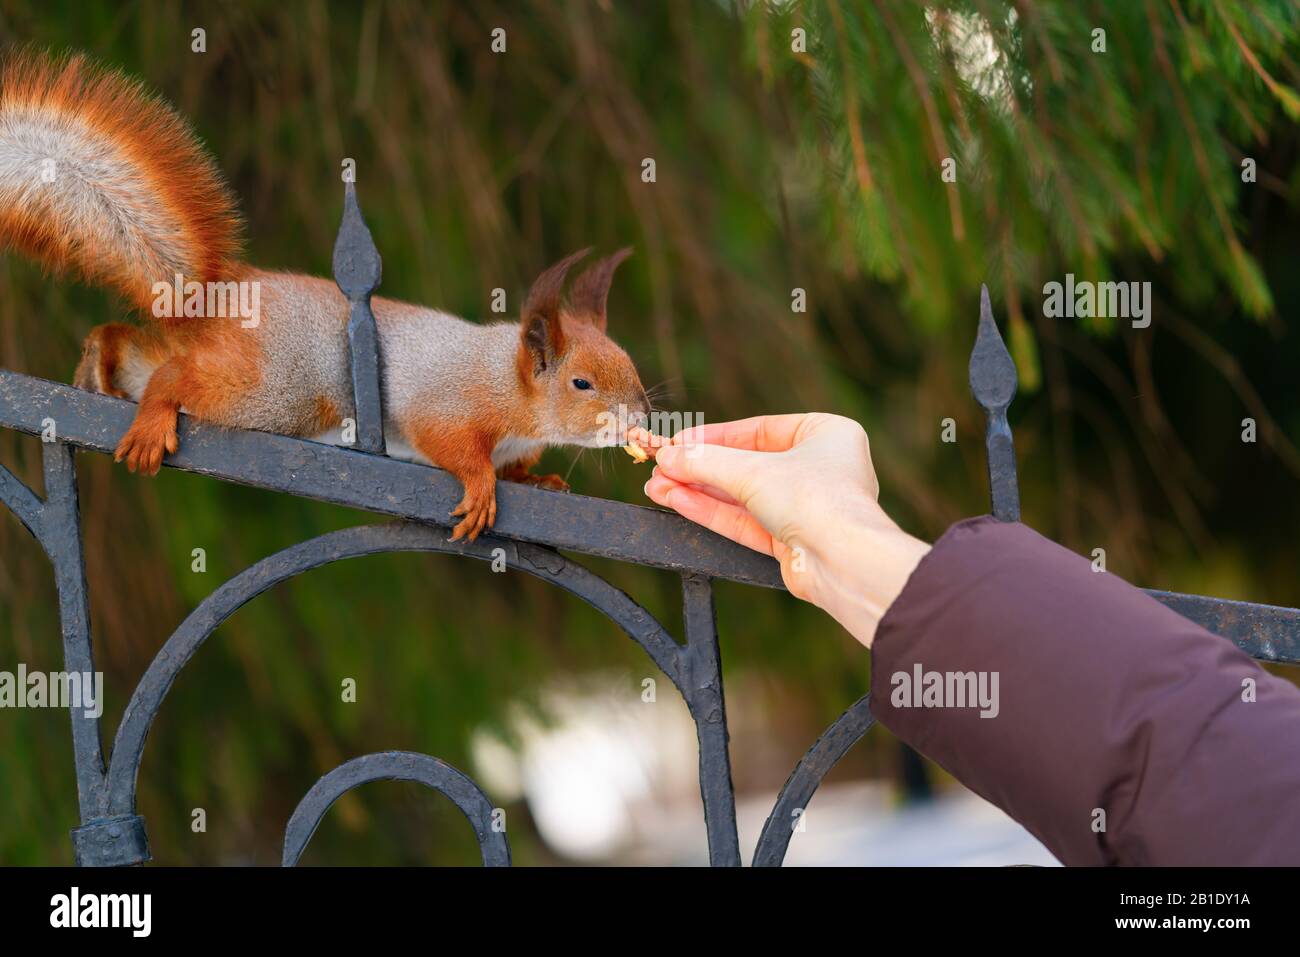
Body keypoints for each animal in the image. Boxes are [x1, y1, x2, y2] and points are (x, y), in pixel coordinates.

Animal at [0, 52, 650, 540]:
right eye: (581, 383)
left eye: (632, 367)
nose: (642, 419)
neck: (509, 387)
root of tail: (228, 295)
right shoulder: (449, 401)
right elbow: (455, 448)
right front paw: (483, 486)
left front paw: (536, 482)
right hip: (281, 391)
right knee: (173, 377)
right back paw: (153, 412)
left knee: (144, 356)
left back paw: (98, 361)